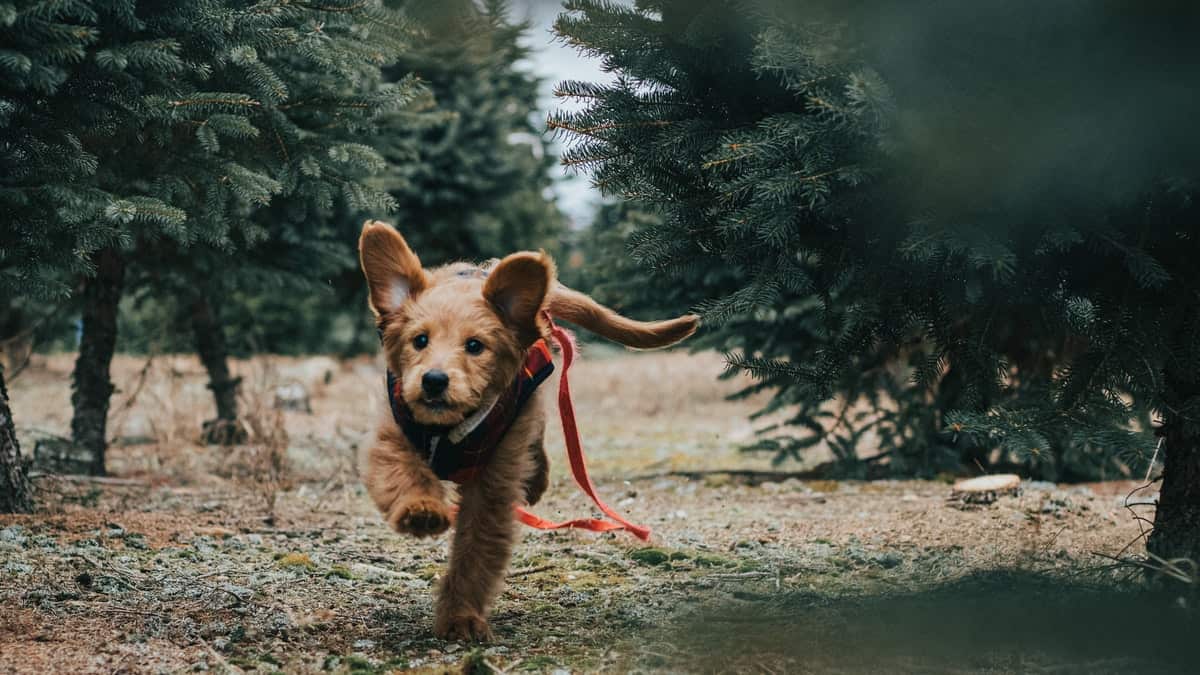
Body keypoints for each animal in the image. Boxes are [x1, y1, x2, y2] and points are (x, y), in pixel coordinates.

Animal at [355, 219, 696, 634]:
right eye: (420, 340)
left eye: (475, 346)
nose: (434, 381)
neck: (450, 427)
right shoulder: (391, 433)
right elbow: (402, 473)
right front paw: (421, 510)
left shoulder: (494, 484)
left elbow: (475, 551)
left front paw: (460, 616)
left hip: (528, 408)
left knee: (538, 436)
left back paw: (536, 480)